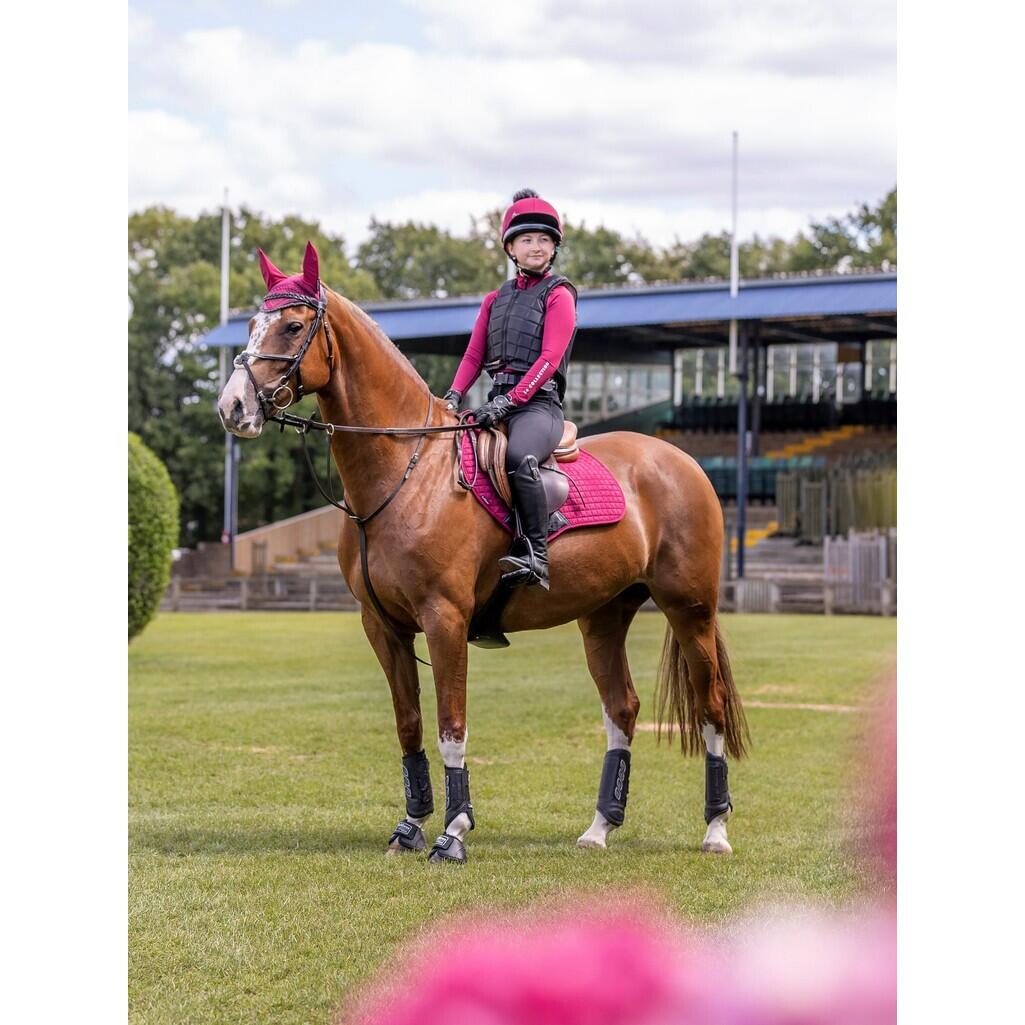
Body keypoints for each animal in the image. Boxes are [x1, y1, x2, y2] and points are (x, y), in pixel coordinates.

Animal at [218, 239, 746, 865]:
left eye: (293, 325)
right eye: (251, 325)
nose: (233, 408)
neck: (408, 471)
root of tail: (680, 460)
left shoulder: (444, 619)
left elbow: (452, 726)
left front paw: (453, 832)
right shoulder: (382, 625)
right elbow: (409, 725)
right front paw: (410, 827)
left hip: (691, 611)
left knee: (712, 706)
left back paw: (716, 830)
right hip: (603, 618)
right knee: (622, 710)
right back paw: (599, 828)